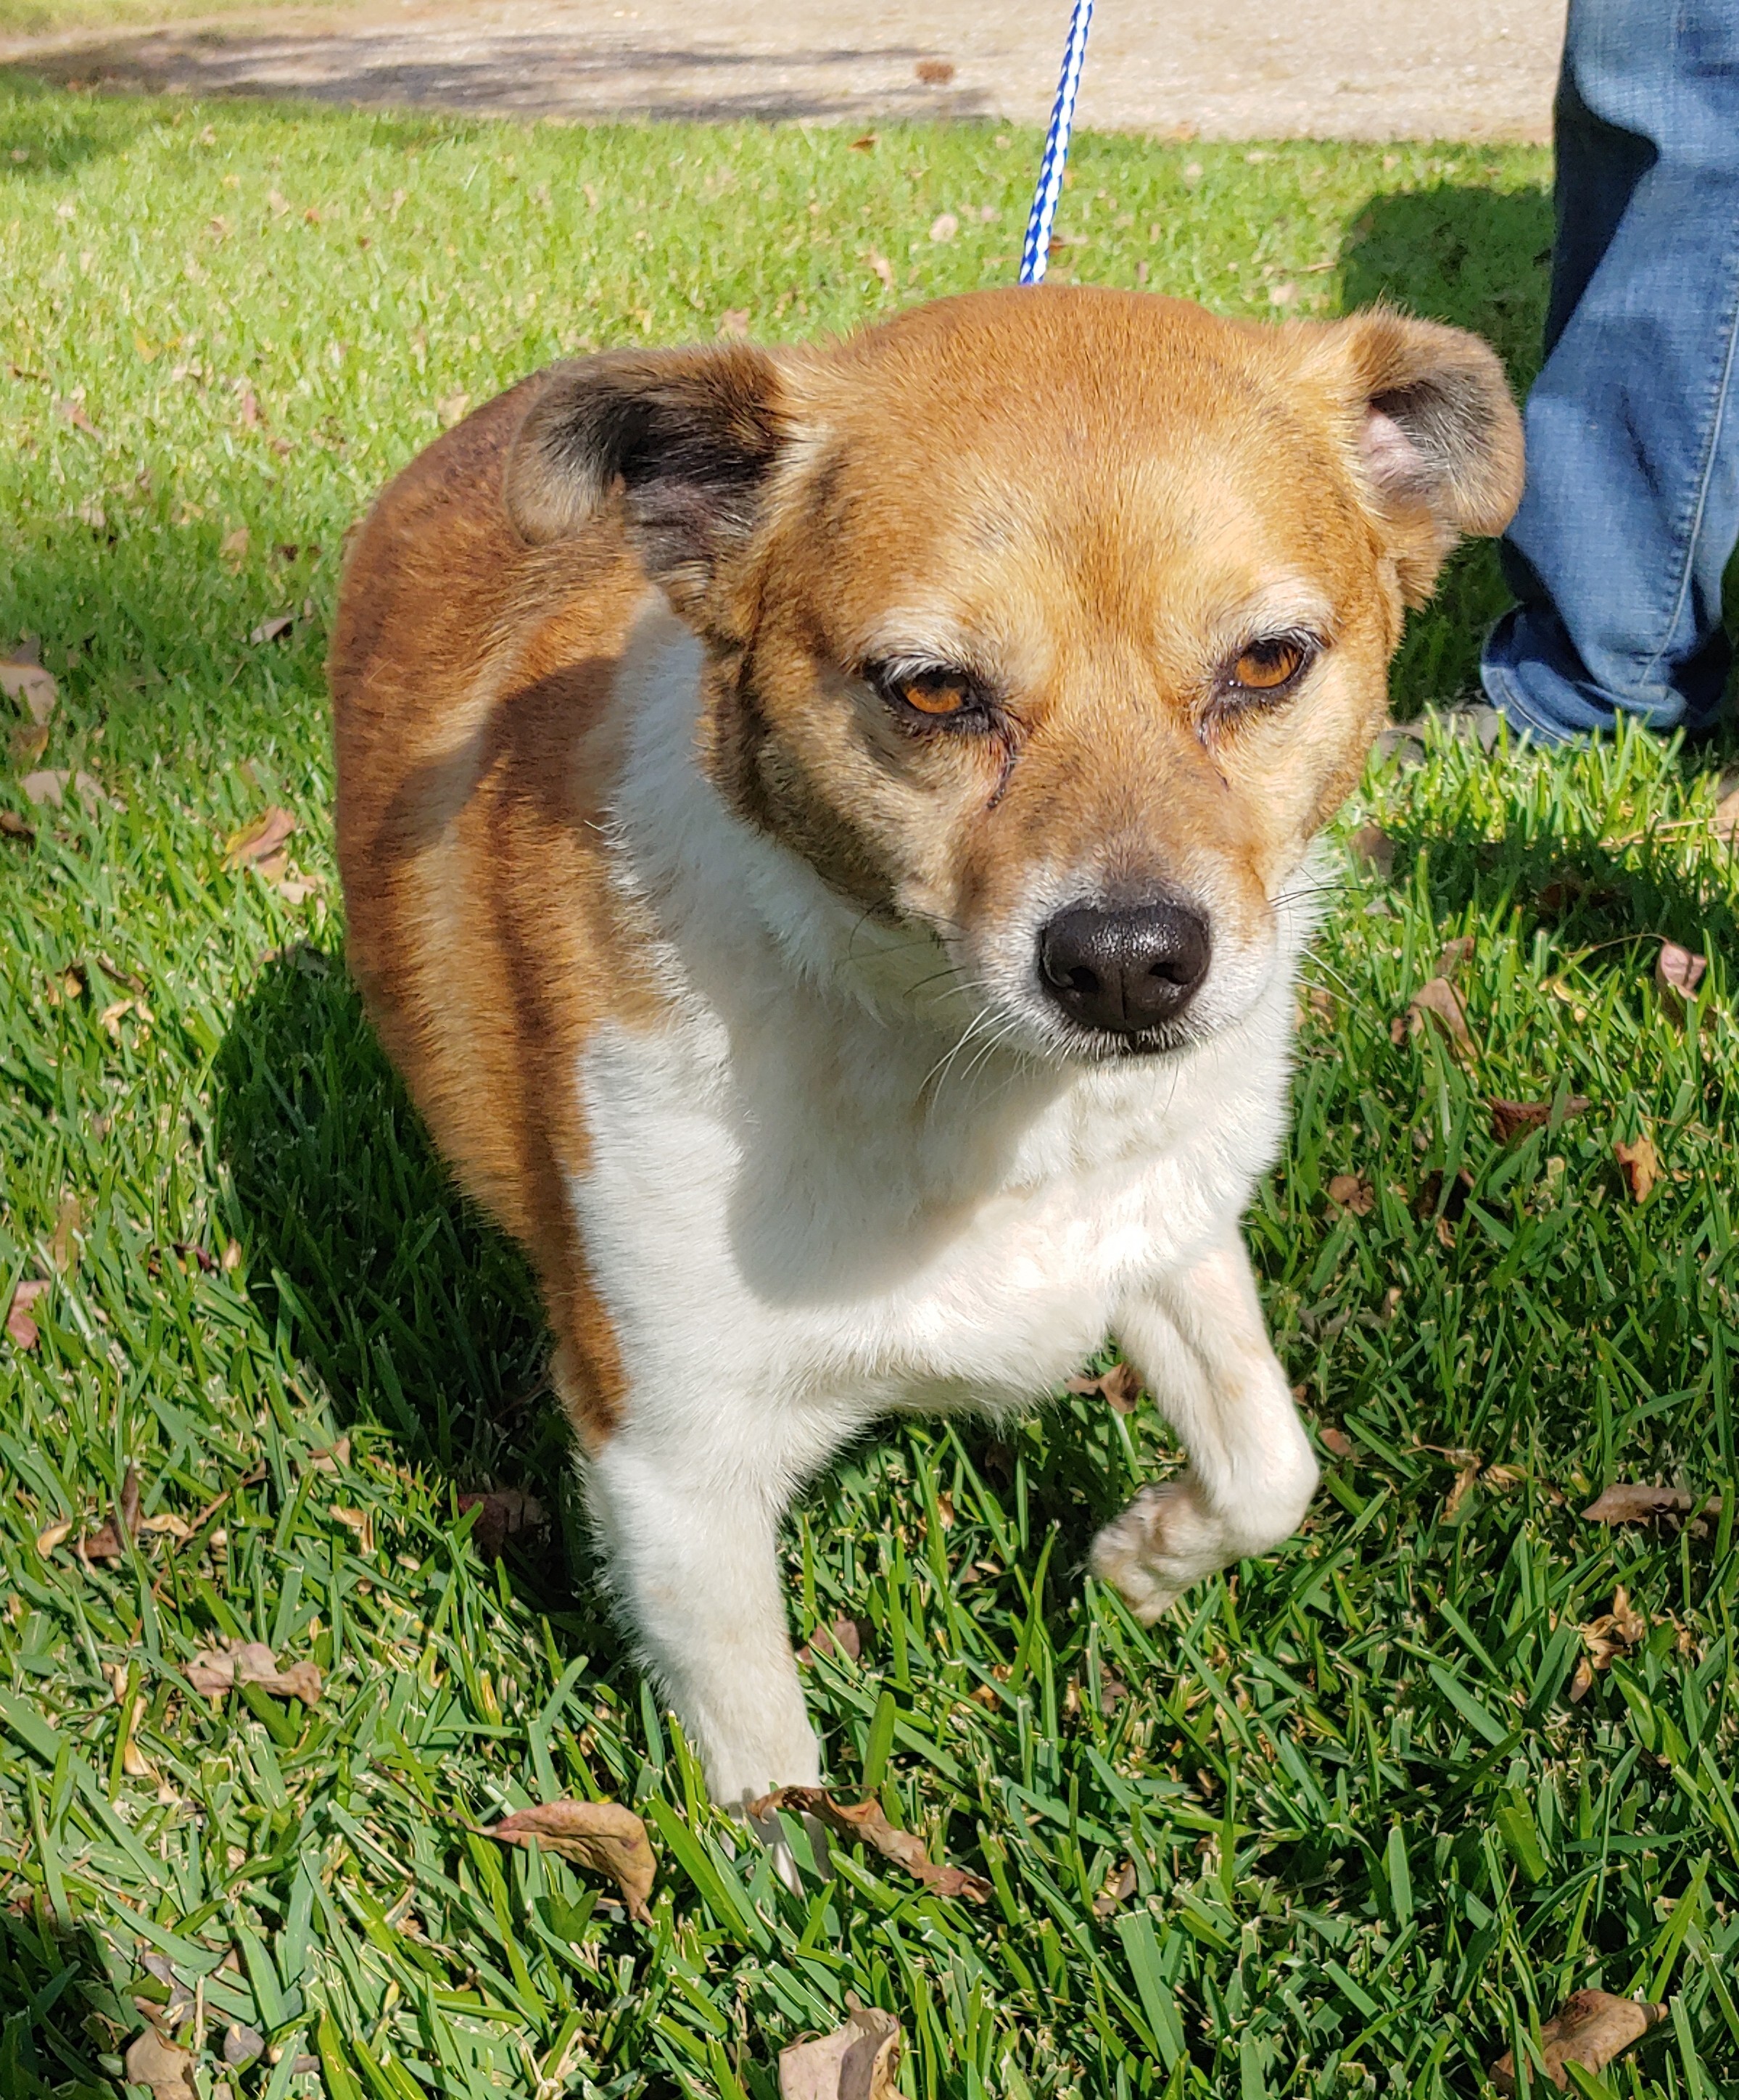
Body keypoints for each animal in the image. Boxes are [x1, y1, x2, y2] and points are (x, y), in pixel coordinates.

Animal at [329, 287, 1520, 1814]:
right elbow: (767, 1776)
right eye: (932, 692)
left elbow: (1270, 1462)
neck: (980, 1082)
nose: (1126, 963)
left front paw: (1144, 1559)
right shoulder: (671, 1466)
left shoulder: (1167, 1226)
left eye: (1266, 662)